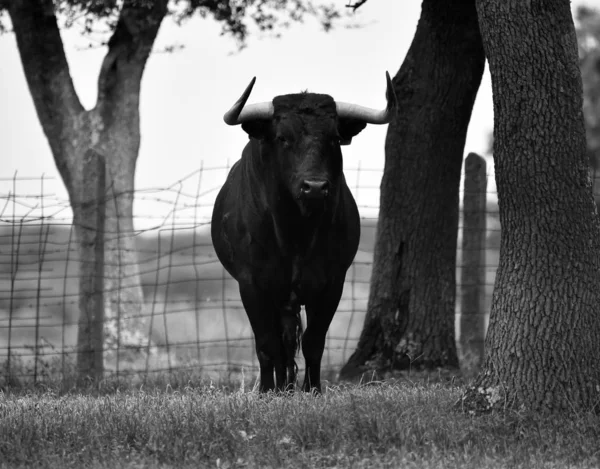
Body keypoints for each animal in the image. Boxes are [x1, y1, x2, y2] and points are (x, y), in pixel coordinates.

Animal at [211, 73, 398, 394]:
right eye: (283, 138)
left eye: (334, 138)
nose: (314, 187)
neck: (295, 233)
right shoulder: (252, 284)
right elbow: (267, 344)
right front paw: (267, 391)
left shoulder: (331, 283)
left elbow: (314, 341)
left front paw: (312, 389)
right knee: (280, 342)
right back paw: (280, 386)